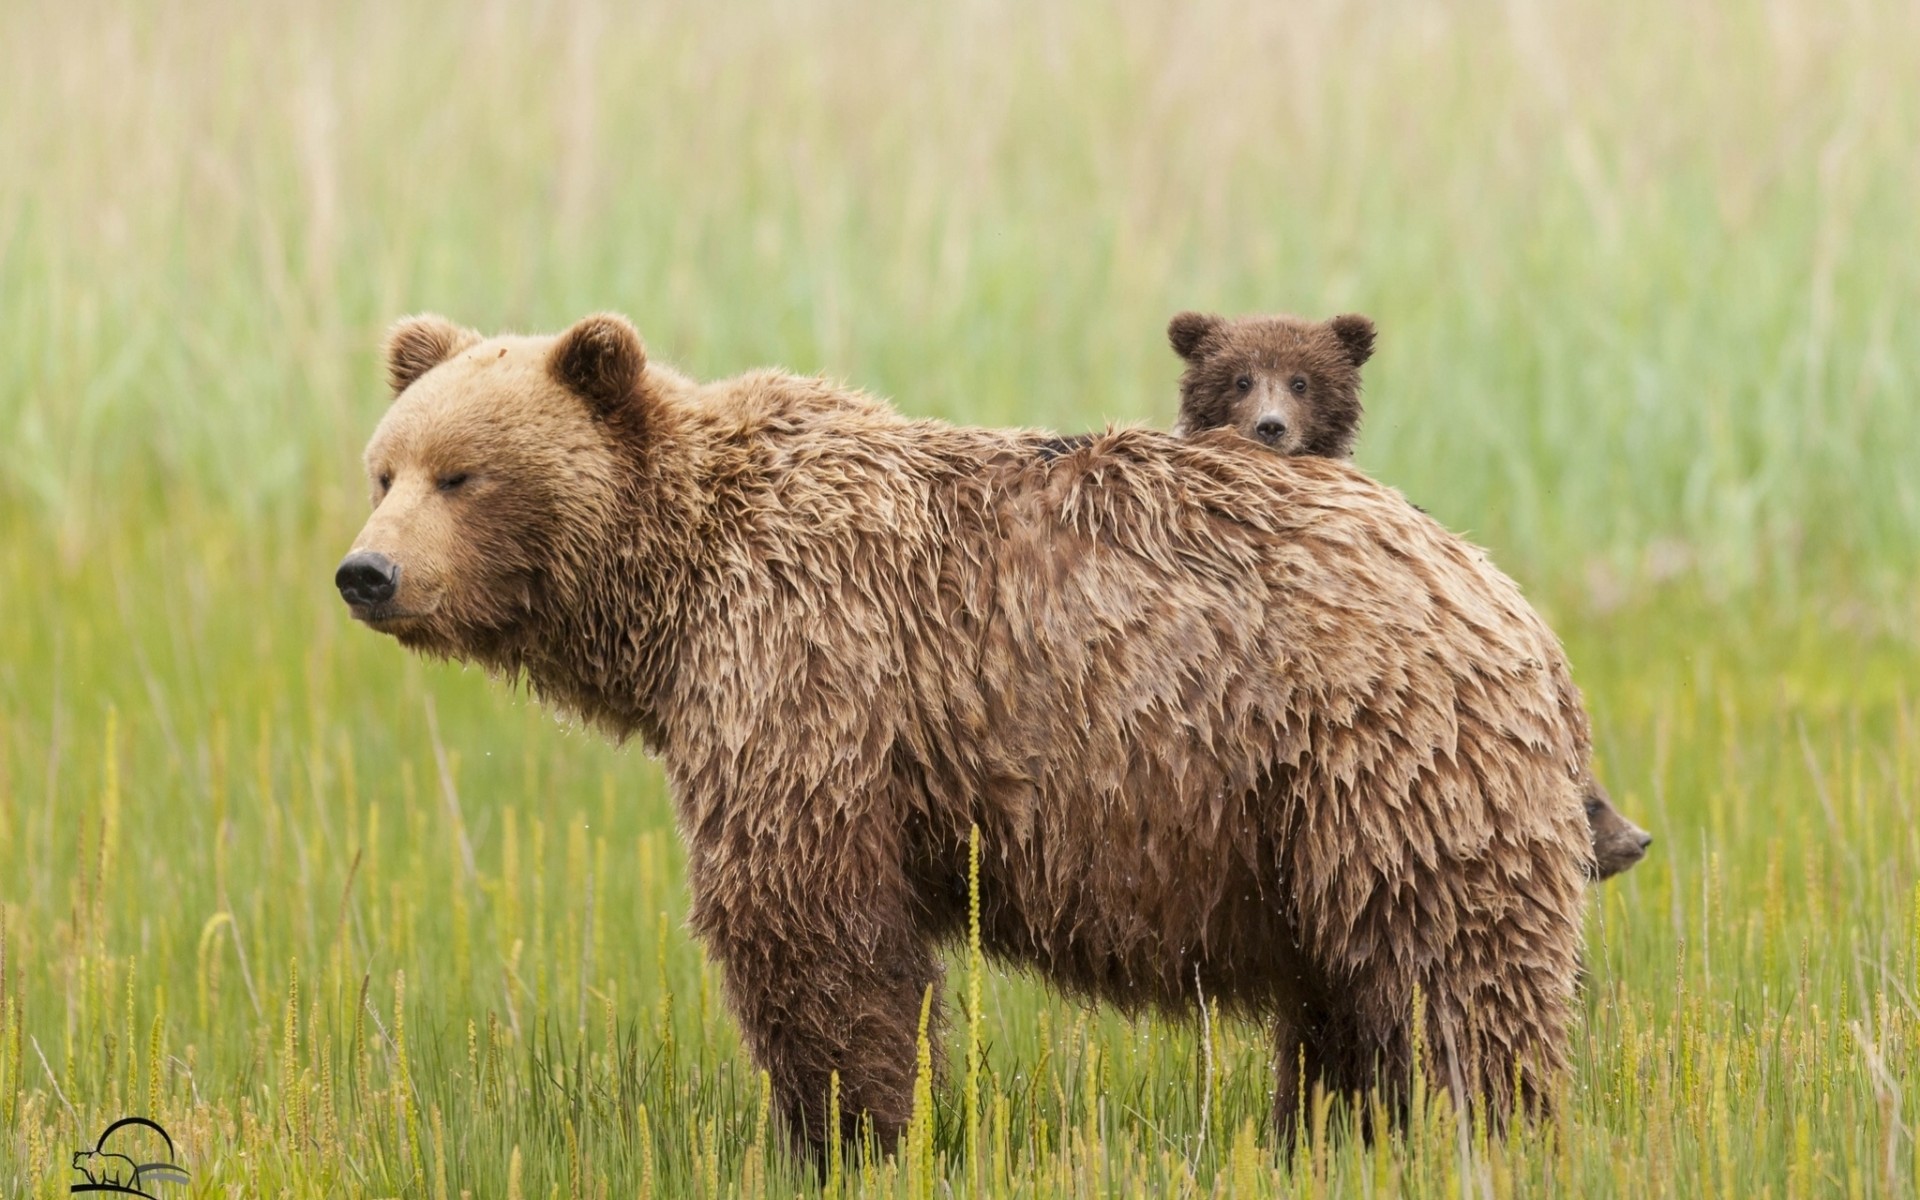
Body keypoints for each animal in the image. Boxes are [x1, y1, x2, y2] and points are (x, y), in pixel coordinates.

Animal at [338, 312, 1595, 1157]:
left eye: (463, 475)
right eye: (383, 469)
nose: (368, 573)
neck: (678, 598)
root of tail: (1508, 596)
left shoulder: (811, 668)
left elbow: (808, 923)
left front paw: (853, 1131)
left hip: (1375, 751)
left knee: (1452, 963)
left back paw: (1495, 1126)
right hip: (1307, 820)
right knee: (1345, 992)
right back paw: (1331, 1134)